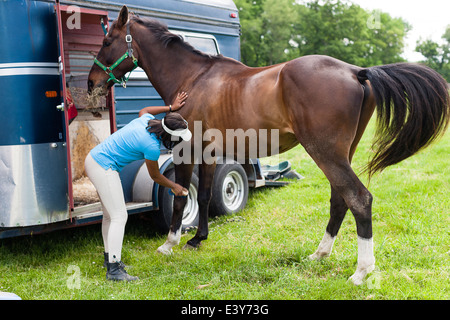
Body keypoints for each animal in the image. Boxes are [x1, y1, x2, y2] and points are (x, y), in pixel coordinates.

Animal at [89, 5, 450, 284]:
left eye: (107, 40)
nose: (92, 82)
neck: (194, 78)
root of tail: (355, 71)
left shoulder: (185, 150)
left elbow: (181, 197)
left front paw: (170, 243)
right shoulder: (209, 152)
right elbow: (203, 196)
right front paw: (198, 239)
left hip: (325, 152)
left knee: (358, 198)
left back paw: (361, 272)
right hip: (340, 154)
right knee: (340, 198)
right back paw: (319, 254)